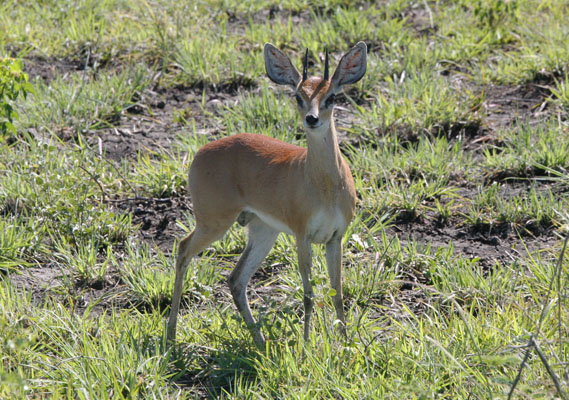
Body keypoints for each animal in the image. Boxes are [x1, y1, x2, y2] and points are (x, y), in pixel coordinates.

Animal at [166, 41, 366, 346]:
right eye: (298, 96)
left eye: (331, 96)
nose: (312, 119)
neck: (325, 186)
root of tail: (201, 151)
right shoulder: (302, 236)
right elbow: (308, 295)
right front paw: (305, 346)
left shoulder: (335, 237)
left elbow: (338, 292)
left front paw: (344, 344)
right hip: (214, 223)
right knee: (183, 249)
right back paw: (171, 336)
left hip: (263, 231)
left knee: (236, 279)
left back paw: (260, 342)